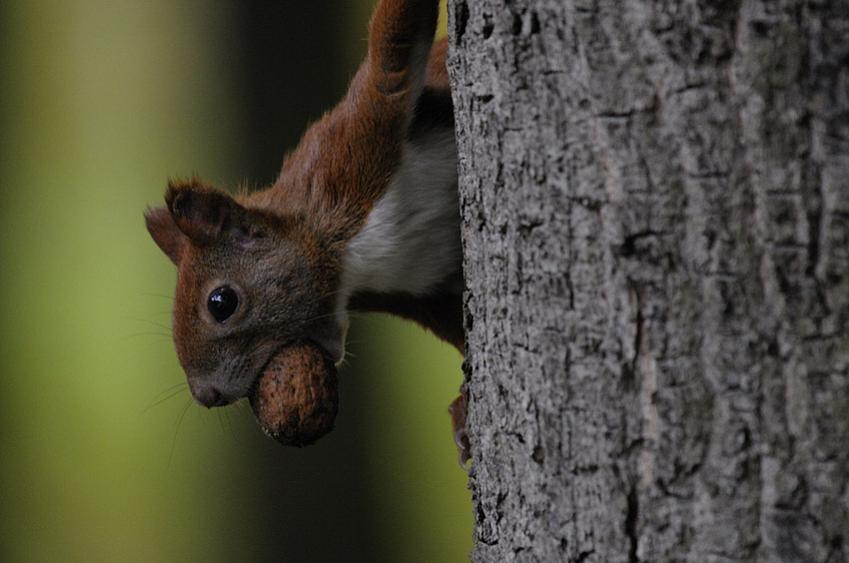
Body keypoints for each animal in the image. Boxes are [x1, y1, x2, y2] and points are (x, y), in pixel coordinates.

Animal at [144, 0, 469, 463]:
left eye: (221, 302)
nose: (206, 395)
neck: (351, 258)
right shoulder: (420, 290)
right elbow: (456, 326)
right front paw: (465, 407)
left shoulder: (355, 148)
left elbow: (389, 57)